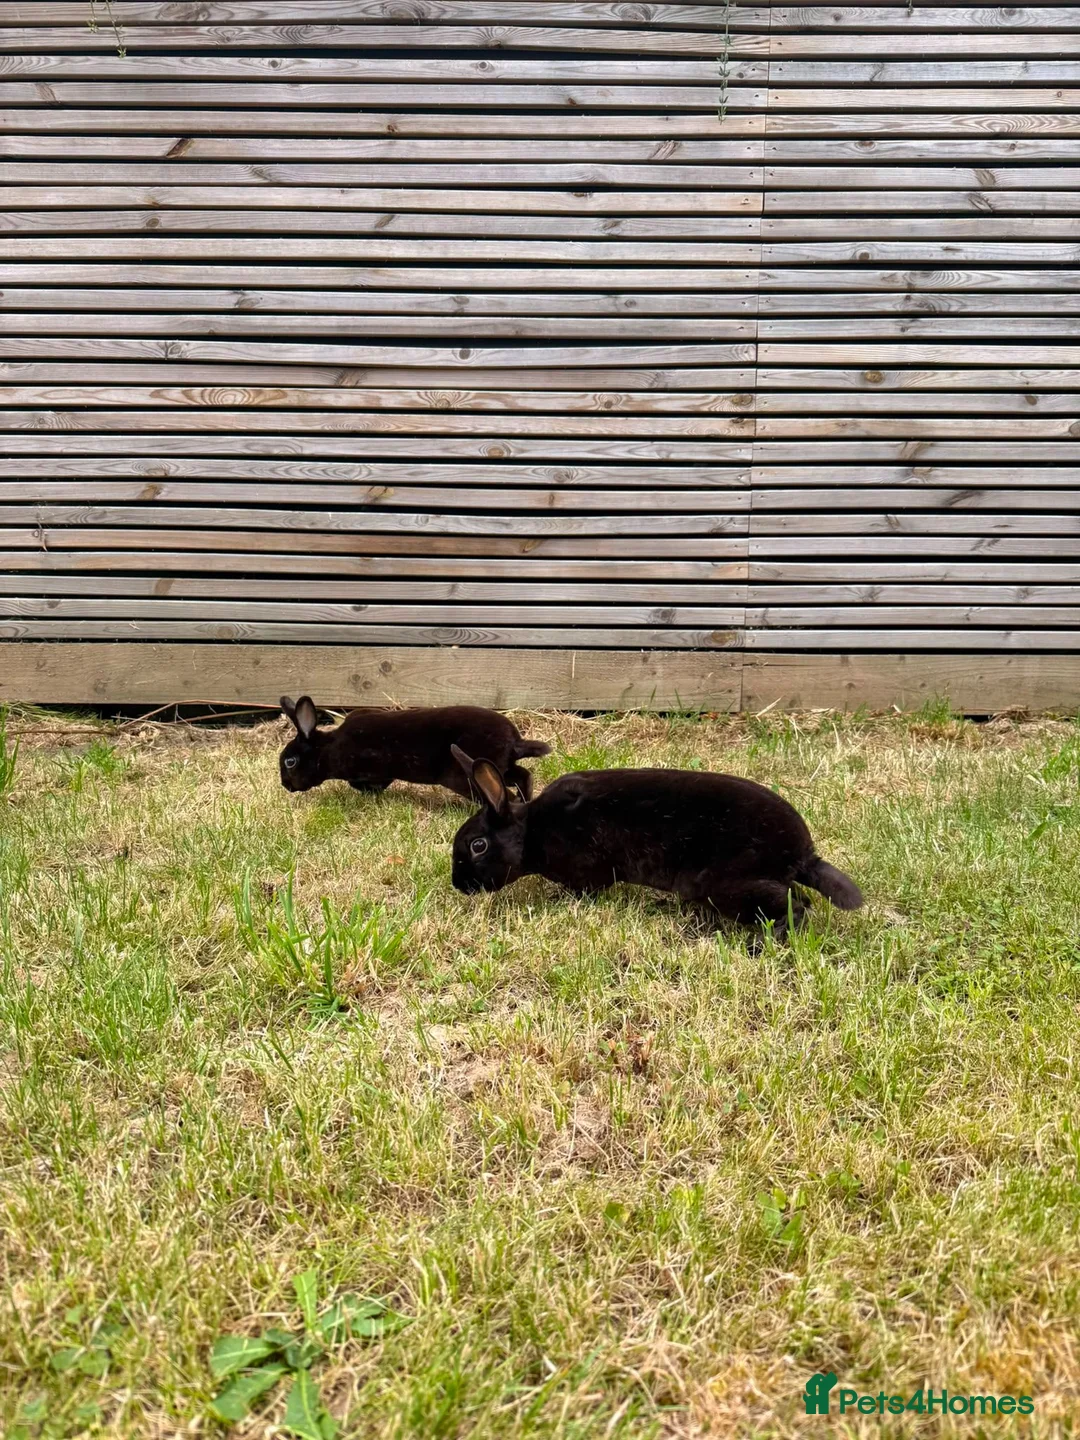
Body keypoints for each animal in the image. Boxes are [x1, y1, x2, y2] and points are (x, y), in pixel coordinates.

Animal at [278, 696, 550, 800]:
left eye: (290, 762)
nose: (285, 785)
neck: (330, 748)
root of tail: (514, 742)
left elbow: (363, 783)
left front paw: (371, 792)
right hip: (500, 766)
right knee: (524, 776)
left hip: (468, 775)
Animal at [449, 746, 863, 939]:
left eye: (477, 846)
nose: (458, 885)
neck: (532, 830)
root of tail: (803, 854)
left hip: (727, 885)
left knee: (795, 906)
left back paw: (759, 946)